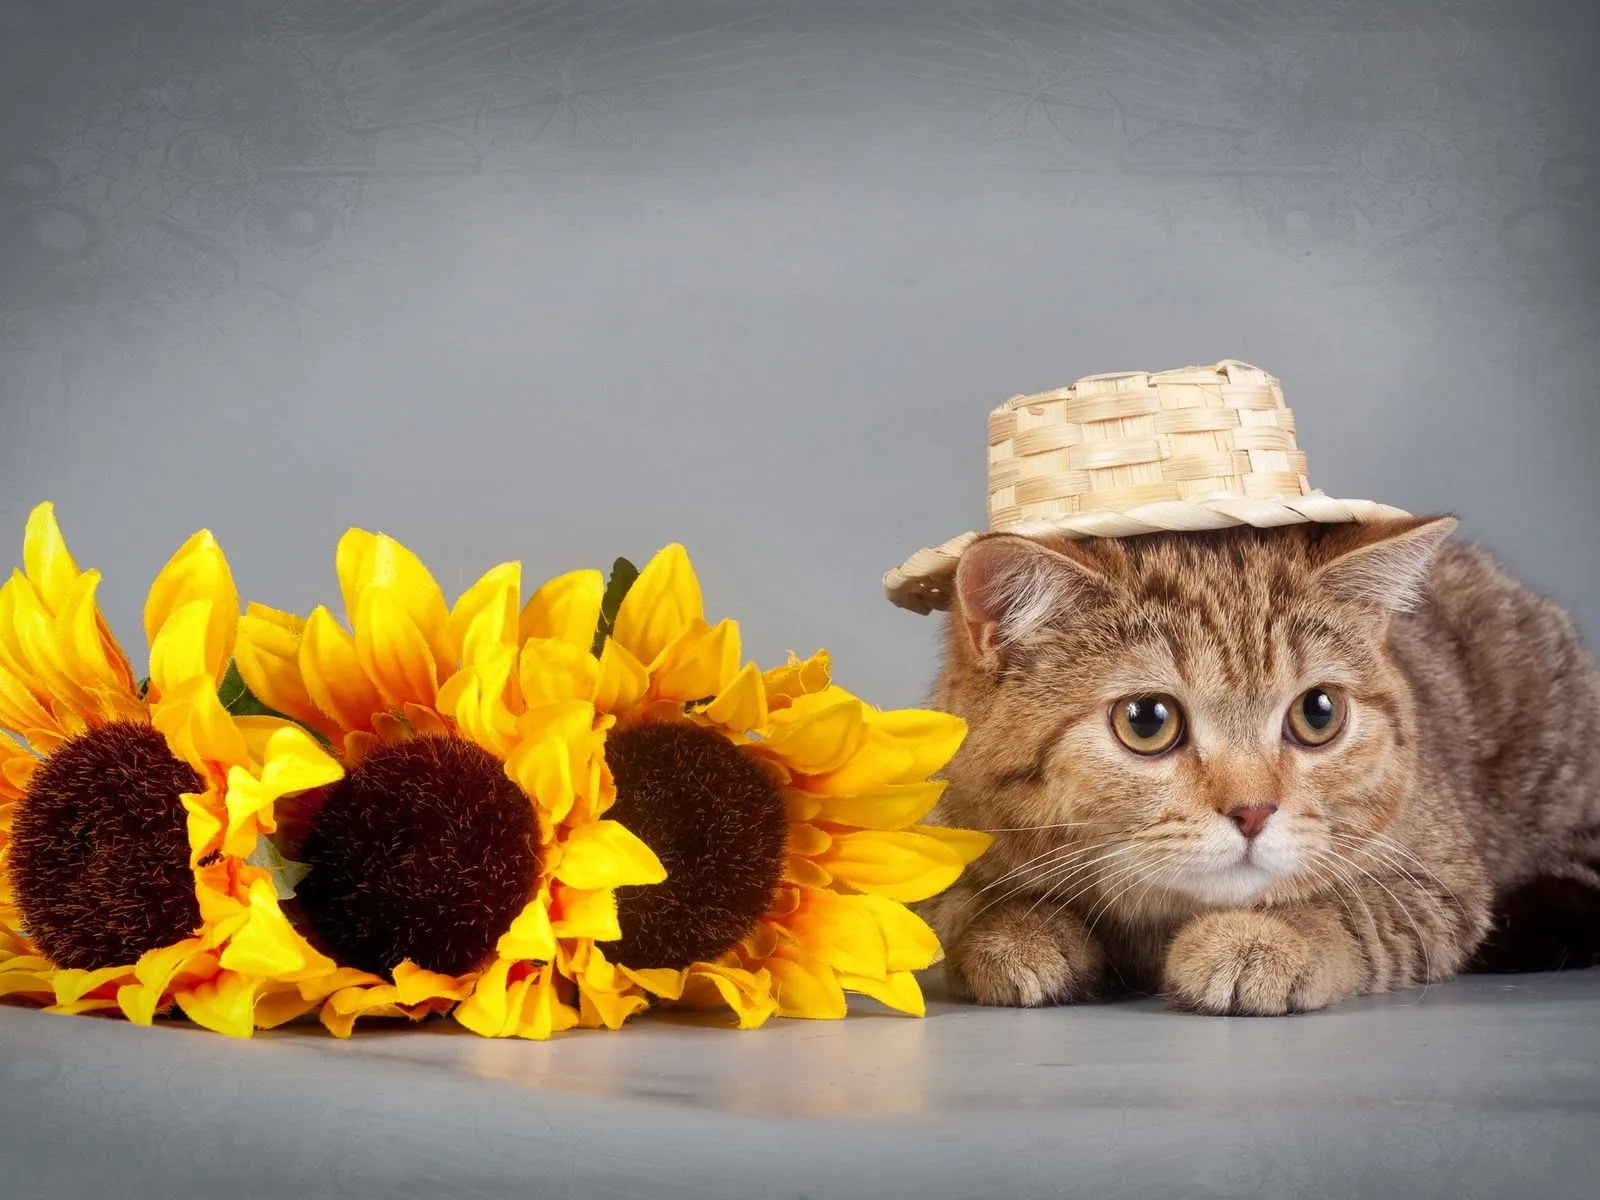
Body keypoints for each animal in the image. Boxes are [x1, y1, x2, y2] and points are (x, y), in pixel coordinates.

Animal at [921, 518, 1600, 1017]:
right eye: (1147, 721)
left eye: (1318, 713)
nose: (1253, 812)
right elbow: (965, 907)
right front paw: (1017, 930)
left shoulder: (1440, 880)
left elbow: (1350, 910)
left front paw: (1262, 939)